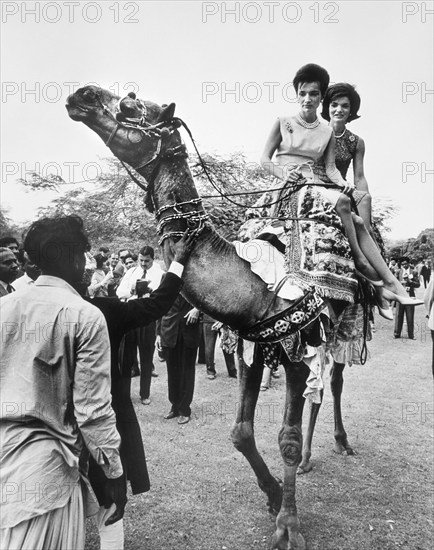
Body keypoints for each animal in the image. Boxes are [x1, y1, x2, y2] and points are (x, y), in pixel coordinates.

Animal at [66, 85, 360, 548]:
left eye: (131, 103)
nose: (83, 95)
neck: (256, 287)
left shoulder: (296, 347)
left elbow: (287, 439)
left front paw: (289, 526)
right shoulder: (250, 344)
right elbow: (240, 432)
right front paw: (273, 495)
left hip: (338, 330)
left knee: (333, 382)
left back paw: (339, 444)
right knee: (323, 386)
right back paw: (313, 458)